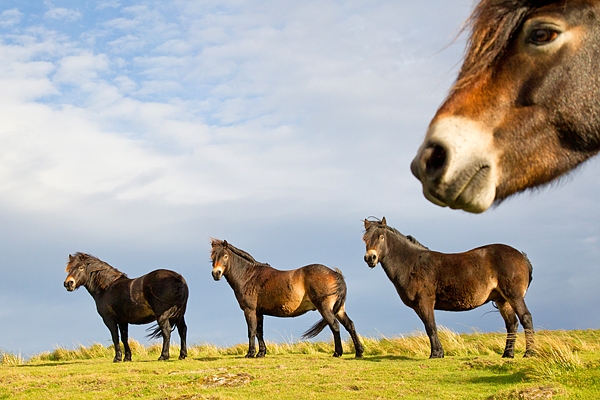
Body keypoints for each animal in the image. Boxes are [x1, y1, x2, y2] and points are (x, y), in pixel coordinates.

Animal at [209, 239, 364, 358]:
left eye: (225, 256)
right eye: (212, 257)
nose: (216, 274)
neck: (249, 276)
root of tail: (335, 274)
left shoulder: (250, 310)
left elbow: (251, 331)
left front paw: (250, 353)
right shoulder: (259, 312)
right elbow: (259, 332)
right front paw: (261, 353)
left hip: (325, 308)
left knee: (335, 325)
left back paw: (337, 353)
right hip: (339, 309)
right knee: (350, 325)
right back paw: (359, 352)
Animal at [360, 219, 536, 360]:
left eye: (381, 237)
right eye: (365, 239)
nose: (370, 258)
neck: (411, 263)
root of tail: (521, 256)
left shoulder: (425, 302)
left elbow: (431, 327)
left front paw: (436, 354)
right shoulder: (418, 306)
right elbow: (429, 327)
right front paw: (438, 352)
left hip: (514, 297)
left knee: (525, 318)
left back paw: (529, 353)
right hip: (502, 300)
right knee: (512, 324)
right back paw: (508, 354)